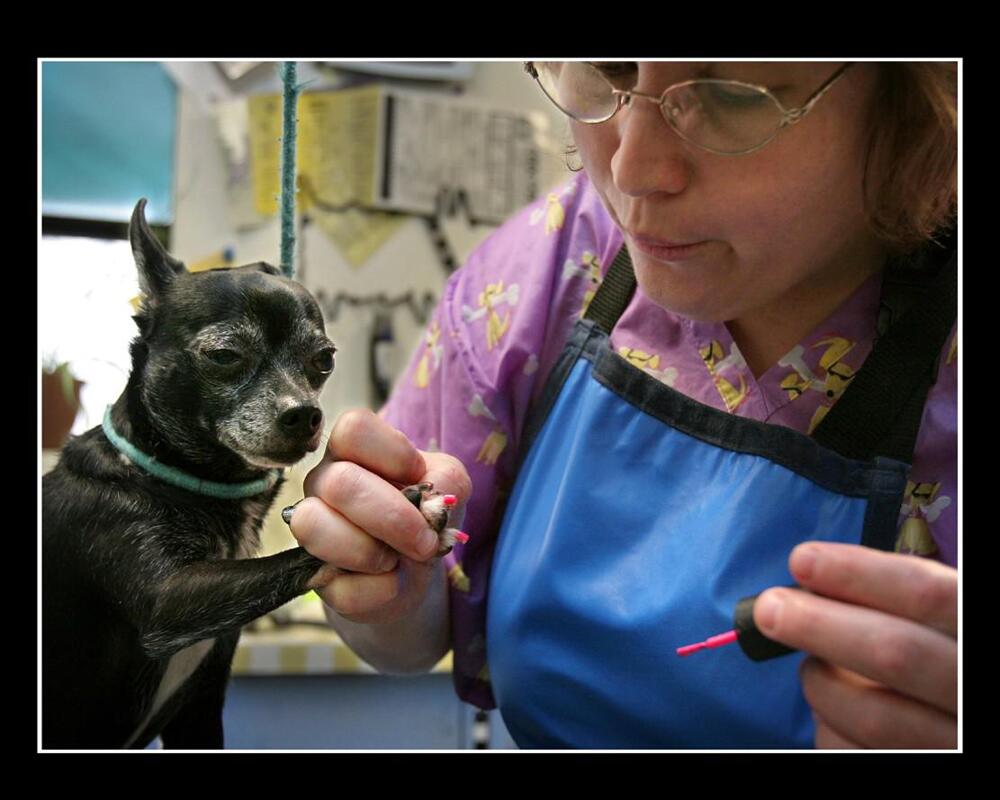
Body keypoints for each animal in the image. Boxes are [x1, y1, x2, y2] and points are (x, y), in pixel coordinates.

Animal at [42, 202, 458, 752]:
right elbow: (288, 558)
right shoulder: (167, 599)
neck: (186, 481)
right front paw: (407, 508)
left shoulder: (200, 709)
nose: (305, 414)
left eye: (323, 360)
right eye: (224, 356)